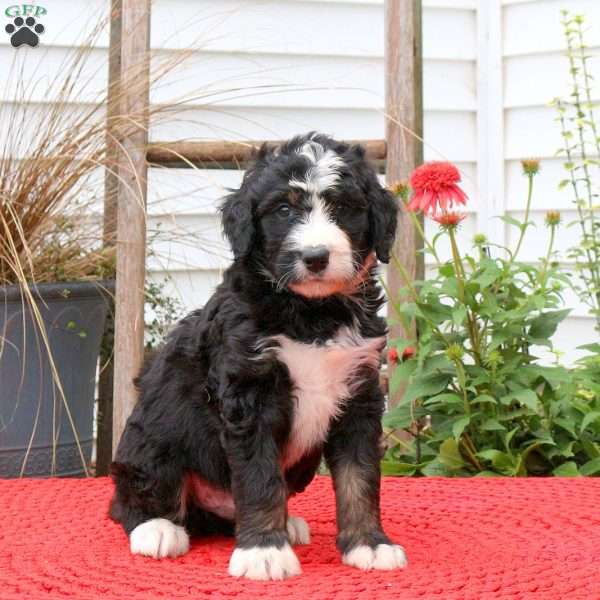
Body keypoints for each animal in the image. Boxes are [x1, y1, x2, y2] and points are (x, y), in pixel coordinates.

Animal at [109, 132, 406, 580]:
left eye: (343, 208)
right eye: (283, 210)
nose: (315, 257)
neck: (312, 312)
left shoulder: (360, 393)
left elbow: (360, 477)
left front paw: (369, 544)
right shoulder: (249, 394)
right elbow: (258, 478)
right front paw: (264, 551)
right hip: (152, 440)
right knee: (134, 500)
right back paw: (157, 529)